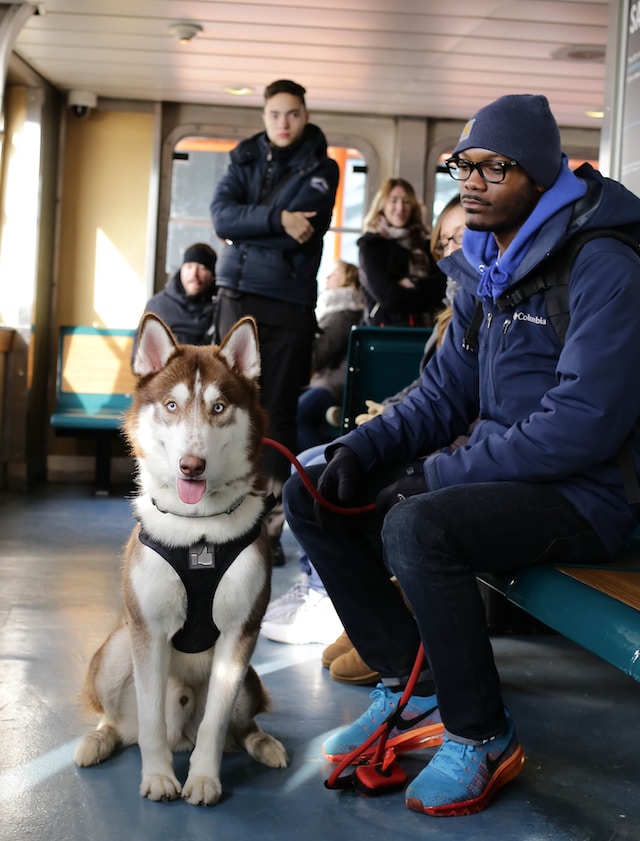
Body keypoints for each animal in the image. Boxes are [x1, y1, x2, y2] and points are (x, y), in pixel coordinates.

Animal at [72, 312, 288, 804]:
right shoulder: (148, 631)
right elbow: (151, 720)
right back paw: (98, 741)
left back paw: (264, 744)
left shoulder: (240, 634)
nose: (192, 465)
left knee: (240, 727)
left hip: (249, 681)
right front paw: (158, 777)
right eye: (171, 405)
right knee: (122, 724)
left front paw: (204, 778)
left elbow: (215, 724)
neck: (198, 532)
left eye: (219, 408)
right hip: (116, 650)